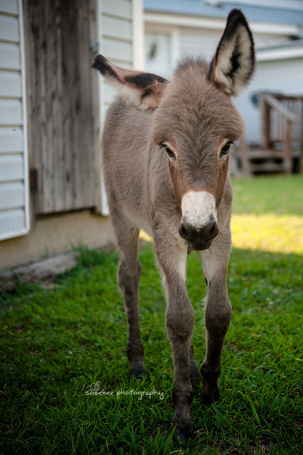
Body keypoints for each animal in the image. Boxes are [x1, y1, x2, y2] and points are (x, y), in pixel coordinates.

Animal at [93, 8, 256, 440]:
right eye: (167, 149)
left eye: (226, 146)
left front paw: (210, 387)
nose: (197, 230)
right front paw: (182, 416)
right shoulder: (170, 235)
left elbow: (217, 311)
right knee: (129, 275)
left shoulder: (221, 235)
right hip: (122, 217)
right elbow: (179, 319)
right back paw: (137, 363)